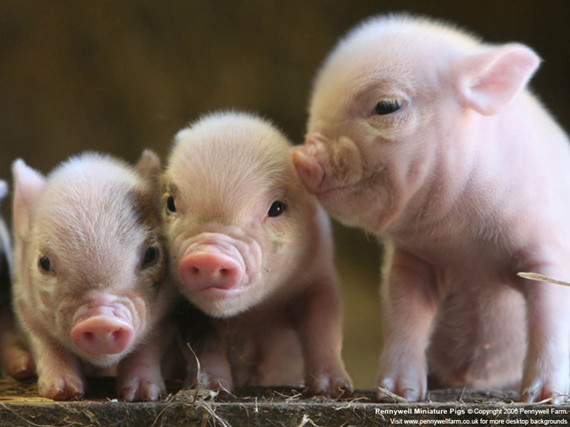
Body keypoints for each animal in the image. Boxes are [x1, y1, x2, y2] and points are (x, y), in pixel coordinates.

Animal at [11, 153, 174, 402]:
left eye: (151, 254)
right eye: (44, 262)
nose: (101, 321)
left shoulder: (168, 312)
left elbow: (149, 346)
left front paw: (141, 395)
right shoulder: (24, 305)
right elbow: (46, 342)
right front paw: (63, 392)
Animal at [164, 111, 350, 398]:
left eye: (277, 208)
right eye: (170, 203)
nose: (208, 257)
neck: (254, 315)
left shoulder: (319, 279)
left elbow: (323, 326)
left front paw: (334, 390)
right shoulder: (184, 305)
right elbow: (202, 341)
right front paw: (211, 389)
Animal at [290, 12, 568, 402]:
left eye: (387, 106)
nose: (301, 156)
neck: (464, 243)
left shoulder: (547, 251)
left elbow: (549, 316)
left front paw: (542, 397)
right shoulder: (412, 261)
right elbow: (405, 317)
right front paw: (397, 393)